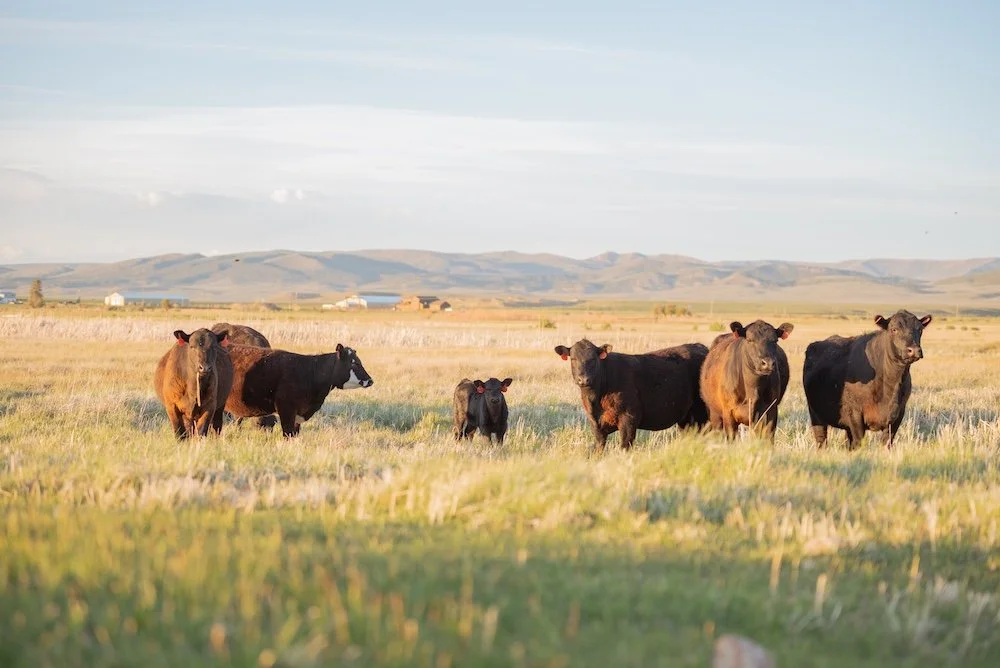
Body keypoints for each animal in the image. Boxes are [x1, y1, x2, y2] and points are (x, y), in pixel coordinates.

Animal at [553, 339, 709, 452]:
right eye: (573, 359)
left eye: (593, 359)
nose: (583, 379)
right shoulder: (595, 424)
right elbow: (599, 448)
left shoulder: (628, 418)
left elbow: (624, 447)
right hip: (687, 418)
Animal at [803, 310, 932, 449]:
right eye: (894, 329)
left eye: (920, 329)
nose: (914, 350)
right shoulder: (854, 413)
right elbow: (859, 442)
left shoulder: (898, 415)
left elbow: (886, 442)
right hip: (815, 415)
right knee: (821, 440)